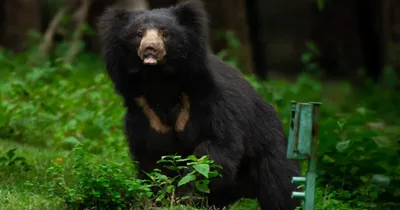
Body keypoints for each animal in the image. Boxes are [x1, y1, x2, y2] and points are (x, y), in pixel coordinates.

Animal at [98, 0, 302, 209]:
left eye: (165, 33)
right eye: (139, 33)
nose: (150, 48)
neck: (160, 80)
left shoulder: (210, 101)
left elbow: (215, 150)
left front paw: (185, 196)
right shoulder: (144, 110)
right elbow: (153, 157)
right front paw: (164, 198)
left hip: (269, 144)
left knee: (280, 182)